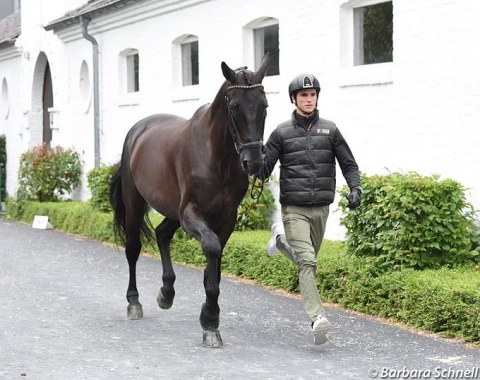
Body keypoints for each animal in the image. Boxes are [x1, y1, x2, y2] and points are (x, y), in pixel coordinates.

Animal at [108, 54, 270, 348]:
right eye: (235, 107)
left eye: (264, 105)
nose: (253, 162)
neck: (216, 157)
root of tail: (137, 130)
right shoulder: (191, 213)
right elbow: (211, 248)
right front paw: (210, 320)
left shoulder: (226, 217)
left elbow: (214, 268)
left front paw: (210, 322)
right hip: (136, 203)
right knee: (133, 248)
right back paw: (134, 302)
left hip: (173, 209)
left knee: (162, 233)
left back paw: (166, 292)